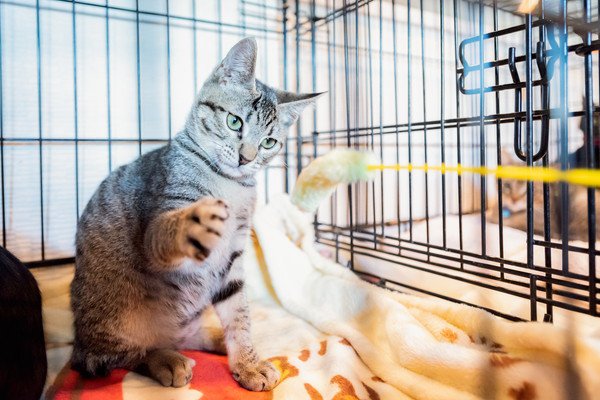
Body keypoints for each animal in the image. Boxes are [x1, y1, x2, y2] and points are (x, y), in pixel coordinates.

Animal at [69, 38, 322, 390]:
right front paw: (194, 221)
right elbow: (168, 230)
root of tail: (79, 343)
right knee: (125, 354)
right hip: (117, 317)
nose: (247, 158)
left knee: (186, 334)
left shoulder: (232, 258)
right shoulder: (158, 226)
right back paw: (165, 360)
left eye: (269, 142)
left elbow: (238, 314)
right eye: (234, 122)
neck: (230, 185)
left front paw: (247, 362)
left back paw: (216, 340)